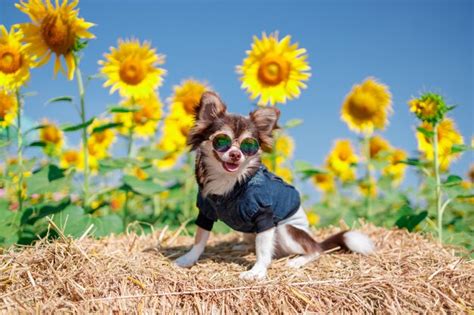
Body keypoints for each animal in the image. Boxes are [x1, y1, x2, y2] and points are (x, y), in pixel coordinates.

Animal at [174, 92, 374, 282]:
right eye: (221, 141)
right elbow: (200, 239)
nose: (235, 154)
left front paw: (257, 271)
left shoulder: (264, 214)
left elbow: (263, 250)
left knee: (315, 250)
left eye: (249, 145)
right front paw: (188, 259)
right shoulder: (206, 210)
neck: (230, 180)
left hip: (285, 230)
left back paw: (298, 260)